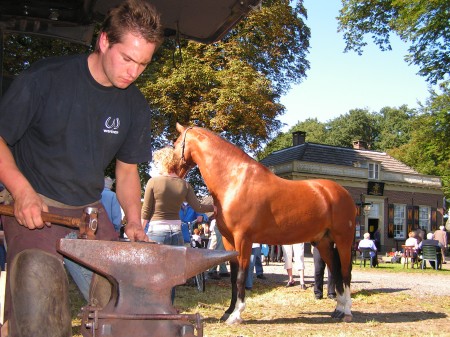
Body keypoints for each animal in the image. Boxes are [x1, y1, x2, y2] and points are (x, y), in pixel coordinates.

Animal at [174, 123, 356, 322]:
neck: (234, 180)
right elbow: (233, 277)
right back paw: (338, 310)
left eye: (175, 144)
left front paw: (236, 315)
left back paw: (347, 311)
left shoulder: (243, 240)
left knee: (345, 273)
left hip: (343, 241)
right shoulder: (230, 241)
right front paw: (228, 311)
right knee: (336, 272)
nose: (172, 170)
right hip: (323, 242)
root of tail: (344, 193)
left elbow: (241, 276)